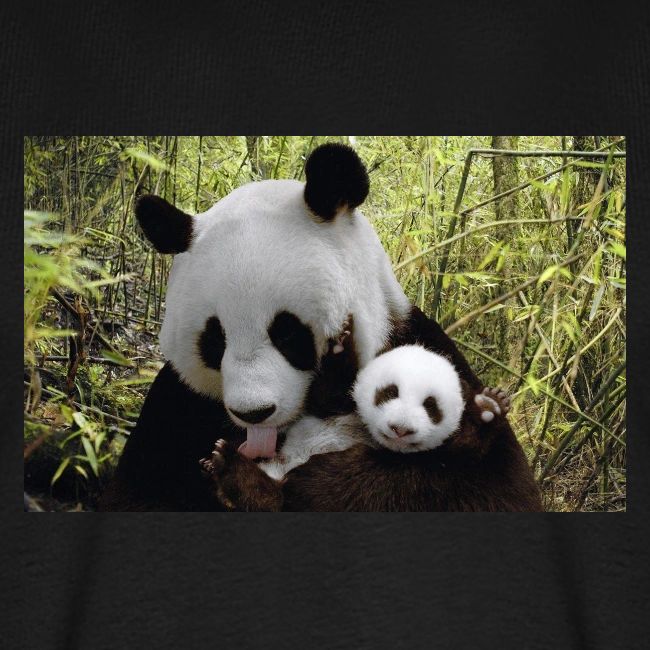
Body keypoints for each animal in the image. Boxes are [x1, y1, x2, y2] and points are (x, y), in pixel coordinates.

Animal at [99, 143, 541, 512]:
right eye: (215, 339)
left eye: (287, 333)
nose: (254, 413)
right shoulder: (179, 404)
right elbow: (140, 492)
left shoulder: (420, 345)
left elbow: (488, 488)